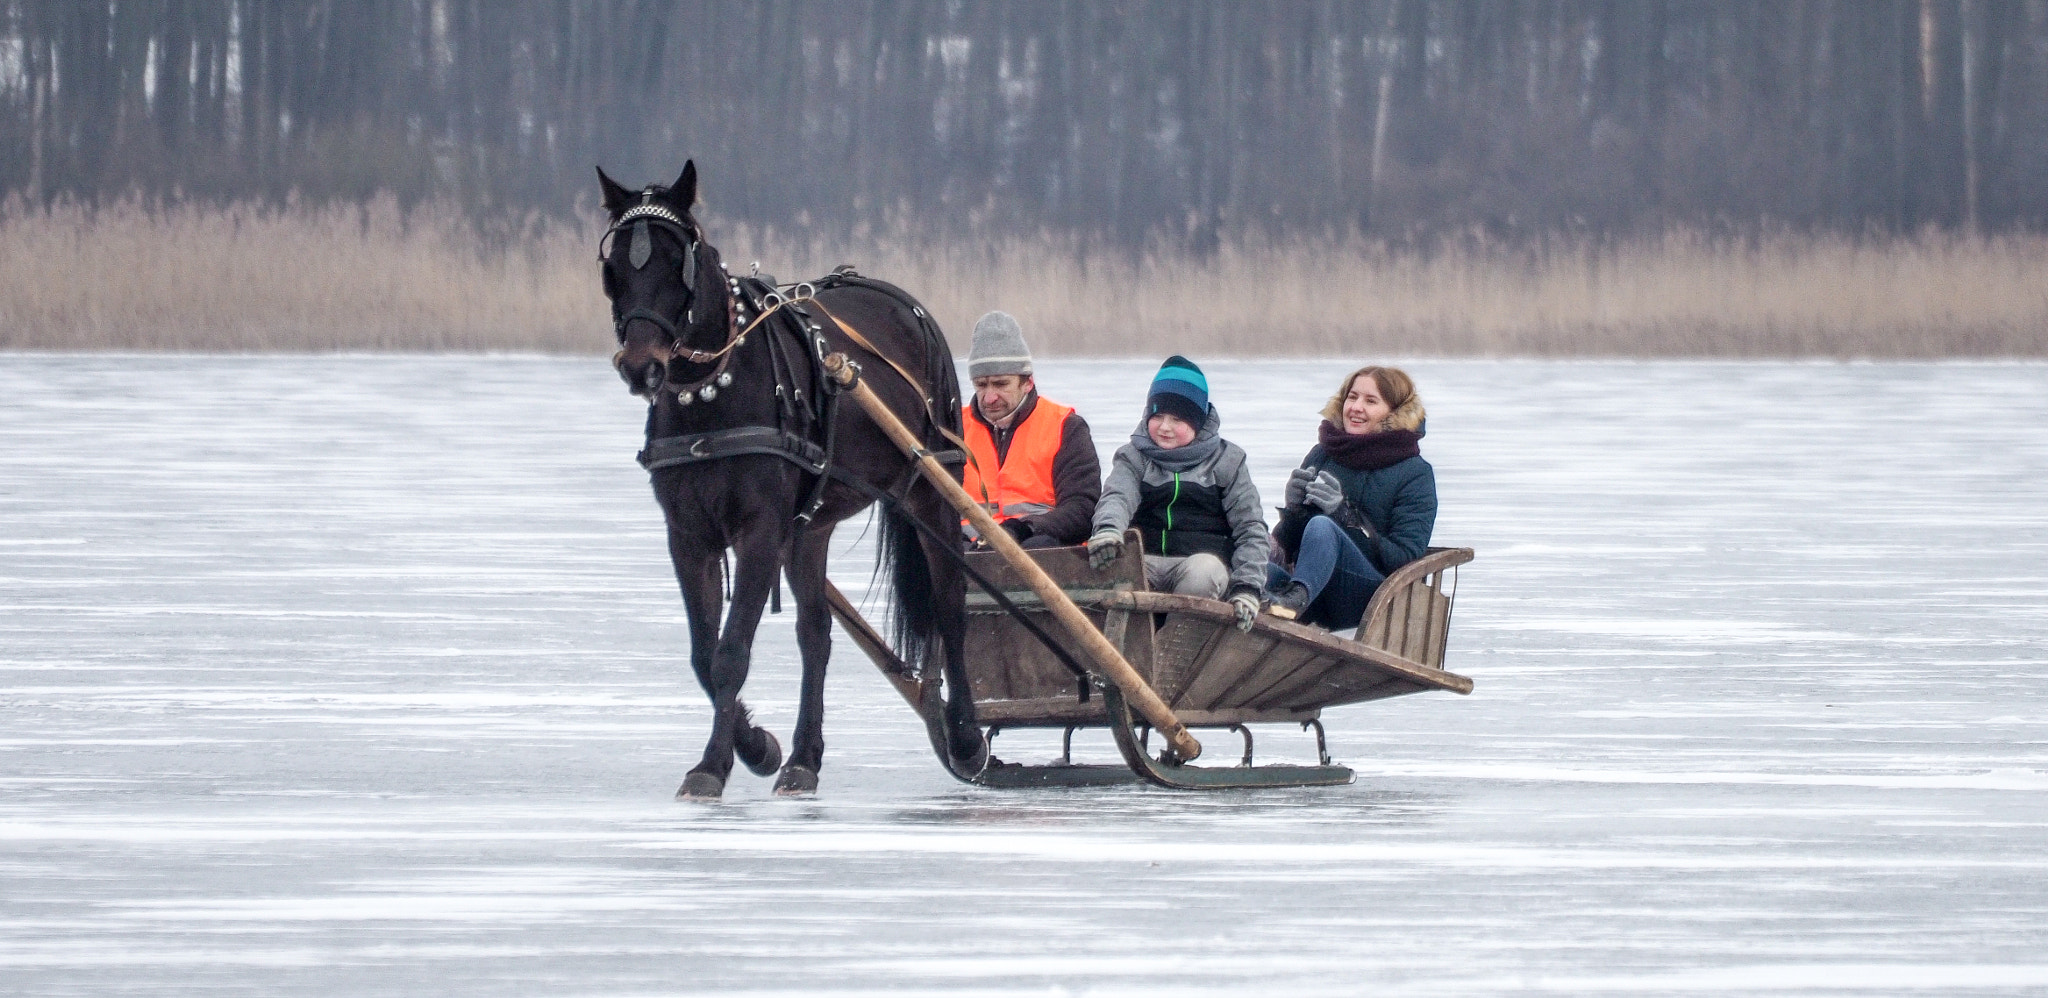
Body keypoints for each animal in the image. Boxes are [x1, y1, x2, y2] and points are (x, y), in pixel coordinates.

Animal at [597, 161, 985, 798]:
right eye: (614, 269)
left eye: (678, 261)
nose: (641, 367)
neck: (712, 397)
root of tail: (904, 303)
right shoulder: (688, 535)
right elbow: (704, 655)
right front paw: (759, 747)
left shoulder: (759, 531)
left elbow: (730, 653)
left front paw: (714, 765)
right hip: (811, 527)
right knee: (816, 633)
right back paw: (805, 757)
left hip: (933, 487)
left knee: (950, 602)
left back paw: (967, 738)